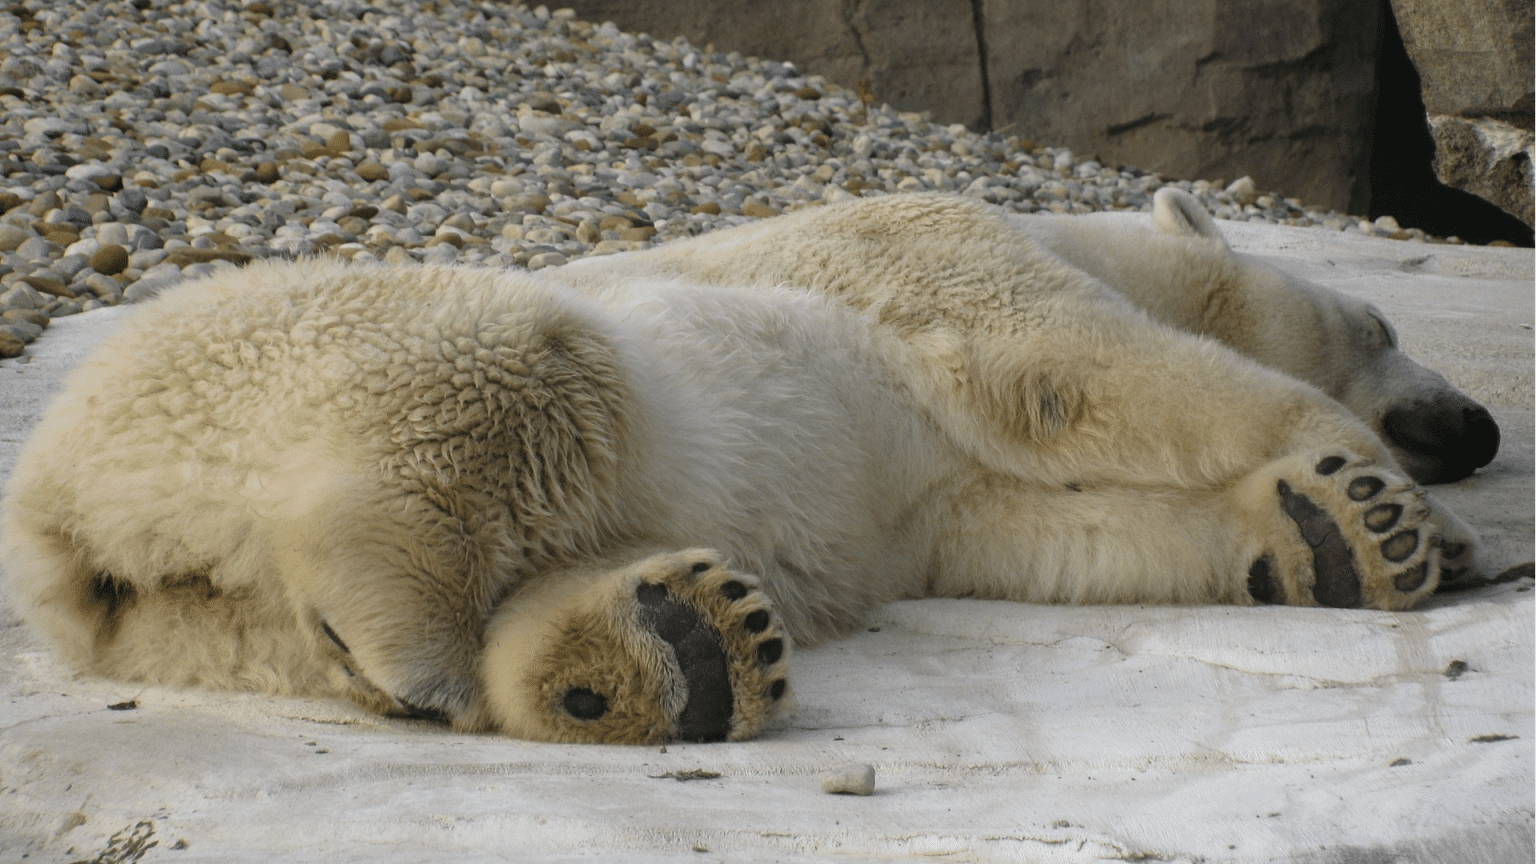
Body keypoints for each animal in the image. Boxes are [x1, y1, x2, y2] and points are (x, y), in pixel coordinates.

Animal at [0, 189, 1492, 741]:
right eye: (1380, 322)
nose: (1476, 426)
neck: (1075, 229)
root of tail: (68, 522)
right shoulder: (937, 249)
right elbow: (1080, 374)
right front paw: (1401, 506)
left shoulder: (941, 490)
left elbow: (1046, 532)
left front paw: (1340, 537)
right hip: (304, 348)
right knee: (514, 373)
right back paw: (426, 646)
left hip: (203, 632)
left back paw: (663, 652)